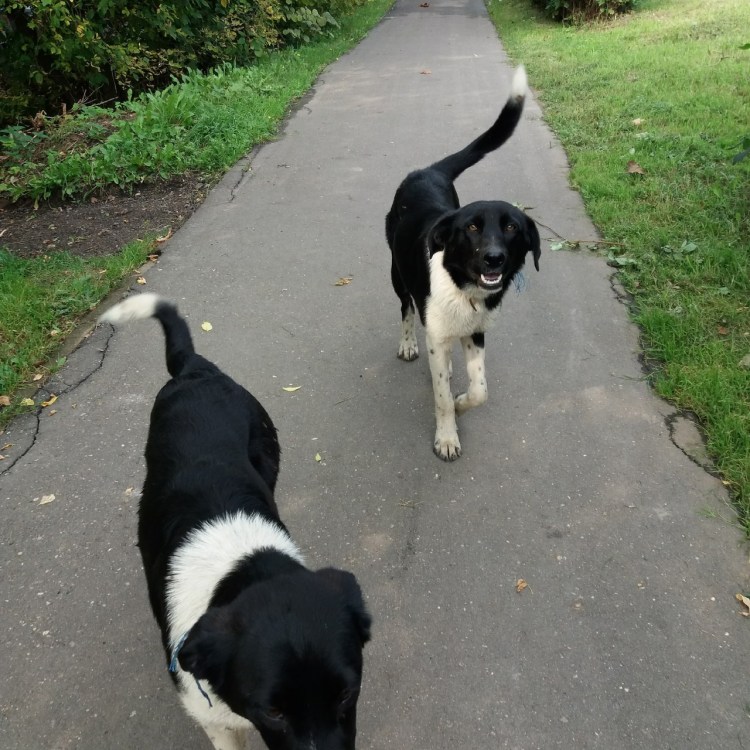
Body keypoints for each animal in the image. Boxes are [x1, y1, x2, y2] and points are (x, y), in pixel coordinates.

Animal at [385, 65, 540, 461]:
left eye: (512, 228)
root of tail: (428, 171)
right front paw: (446, 437)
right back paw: (409, 343)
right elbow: (440, 396)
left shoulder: (477, 331)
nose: (494, 258)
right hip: (396, 273)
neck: (462, 288)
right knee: (406, 308)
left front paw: (461, 403)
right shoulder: (439, 331)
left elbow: (480, 390)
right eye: (471, 227)